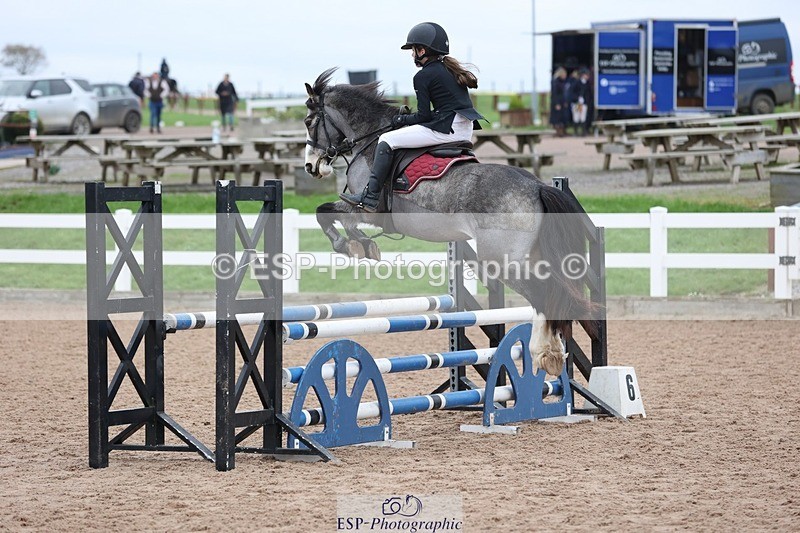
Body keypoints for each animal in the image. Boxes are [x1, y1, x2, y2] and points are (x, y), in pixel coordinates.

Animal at [302, 68, 599, 376]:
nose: (311, 167)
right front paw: (363, 246)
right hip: (533, 255)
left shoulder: (366, 209)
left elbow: (325, 213)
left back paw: (543, 351)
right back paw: (553, 352)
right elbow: (337, 218)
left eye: (309, 122)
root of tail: (537, 187)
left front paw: (349, 245)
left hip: (502, 260)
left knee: (543, 293)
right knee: (558, 291)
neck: (371, 141)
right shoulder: (361, 212)